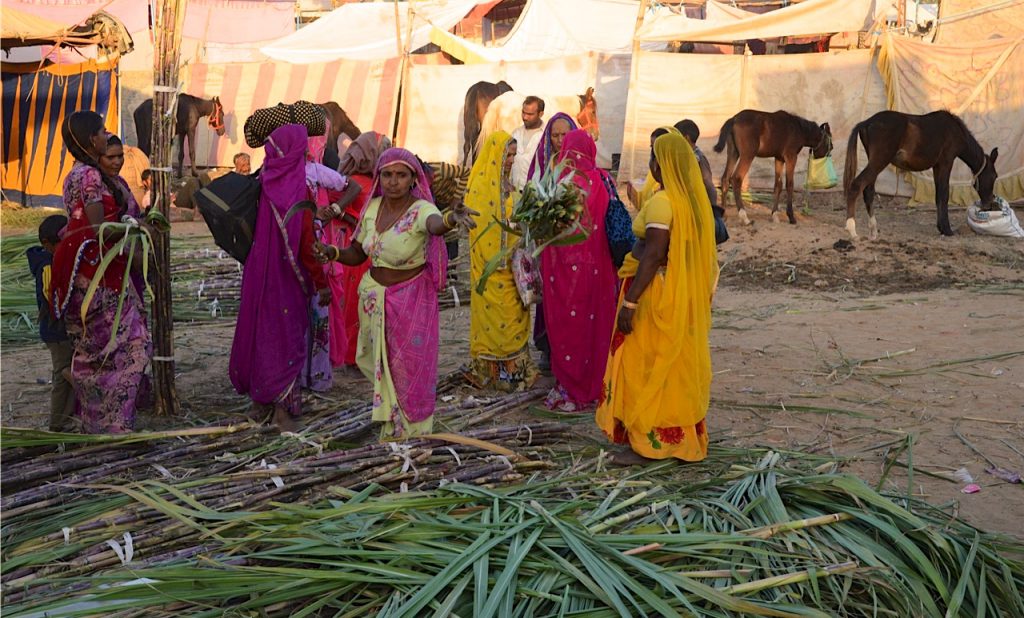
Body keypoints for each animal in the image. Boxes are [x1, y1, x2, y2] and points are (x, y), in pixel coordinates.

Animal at [839, 109, 999, 240]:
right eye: (994, 176)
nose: (988, 204)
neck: (954, 130)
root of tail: (866, 122)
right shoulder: (946, 163)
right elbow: (944, 194)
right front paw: (947, 229)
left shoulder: (937, 166)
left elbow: (938, 196)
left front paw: (941, 228)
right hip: (879, 162)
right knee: (856, 186)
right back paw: (852, 230)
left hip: (875, 163)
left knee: (868, 191)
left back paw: (873, 231)